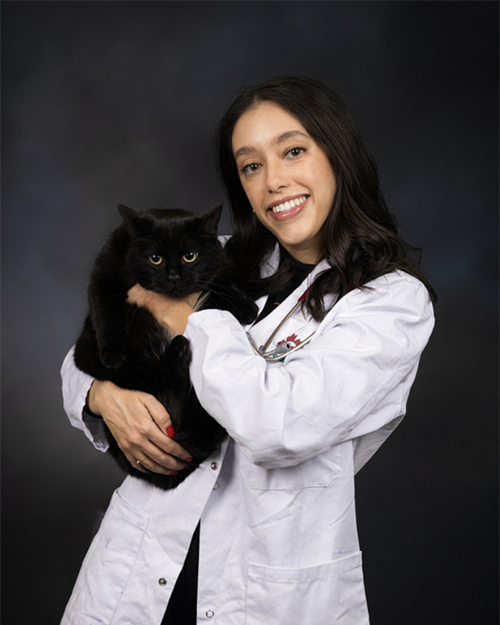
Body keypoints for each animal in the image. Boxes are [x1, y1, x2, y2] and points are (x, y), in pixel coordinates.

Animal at [74, 204, 258, 488]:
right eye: (155, 259)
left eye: (190, 256)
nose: (173, 277)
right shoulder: (104, 274)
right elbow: (105, 310)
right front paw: (113, 353)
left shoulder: (220, 266)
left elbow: (218, 284)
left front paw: (246, 306)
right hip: (127, 369)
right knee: (171, 413)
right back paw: (176, 350)